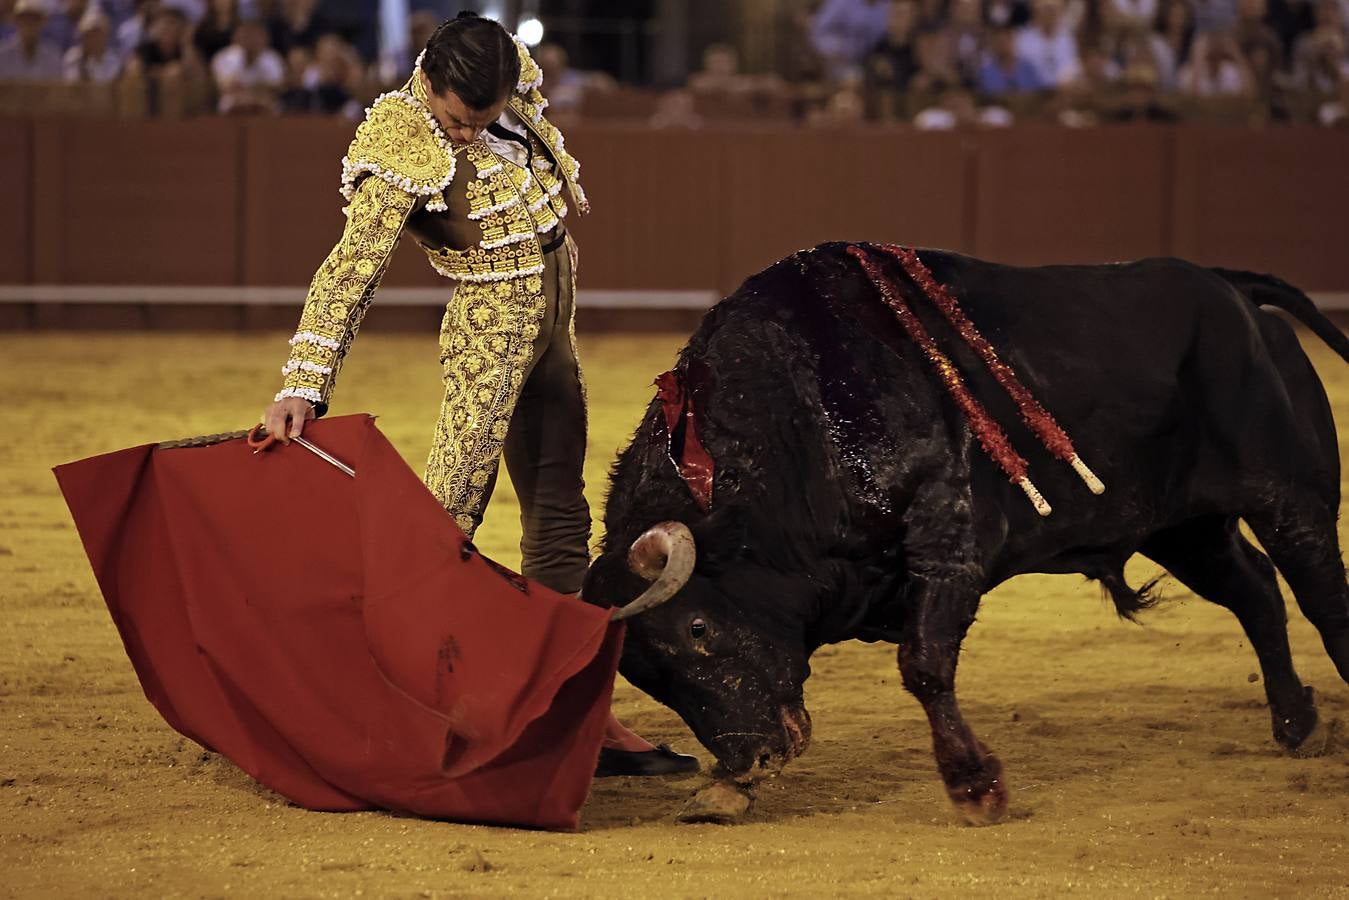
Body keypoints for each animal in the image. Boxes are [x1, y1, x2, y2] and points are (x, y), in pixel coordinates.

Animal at [580, 242, 1349, 825]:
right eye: (644, 675)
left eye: (699, 629)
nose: (752, 756)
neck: (805, 419)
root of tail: (1229, 286)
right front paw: (725, 790)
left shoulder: (949, 543)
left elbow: (924, 664)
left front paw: (976, 787)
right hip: (1183, 528)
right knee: (1255, 591)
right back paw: (1295, 723)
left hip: (1291, 496)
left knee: (1320, 595)